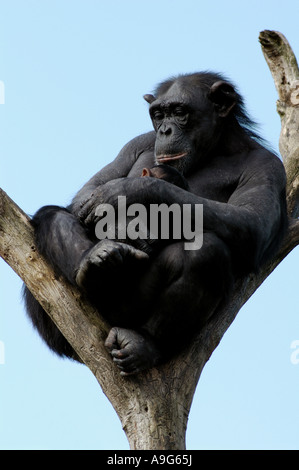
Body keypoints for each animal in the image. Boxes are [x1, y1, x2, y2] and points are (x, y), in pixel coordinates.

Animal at [23, 72, 288, 374]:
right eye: (159, 115)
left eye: (180, 112)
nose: (165, 131)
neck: (215, 151)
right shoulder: (135, 143)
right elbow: (86, 195)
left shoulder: (268, 166)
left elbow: (253, 224)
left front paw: (132, 189)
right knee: (53, 214)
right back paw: (94, 261)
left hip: (125, 310)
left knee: (204, 252)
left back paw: (142, 341)